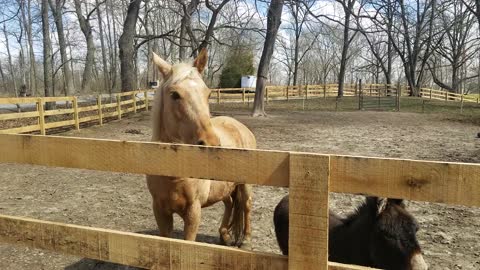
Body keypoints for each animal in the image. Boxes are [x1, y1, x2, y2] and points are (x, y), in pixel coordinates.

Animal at [146, 48, 256, 247]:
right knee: (229, 203)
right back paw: (224, 235)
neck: (174, 176)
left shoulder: (193, 211)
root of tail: (240, 126)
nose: (211, 144)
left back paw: (246, 239)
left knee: (246, 205)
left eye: (208, 94)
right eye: (175, 95)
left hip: (245, 184)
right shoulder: (160, 210)